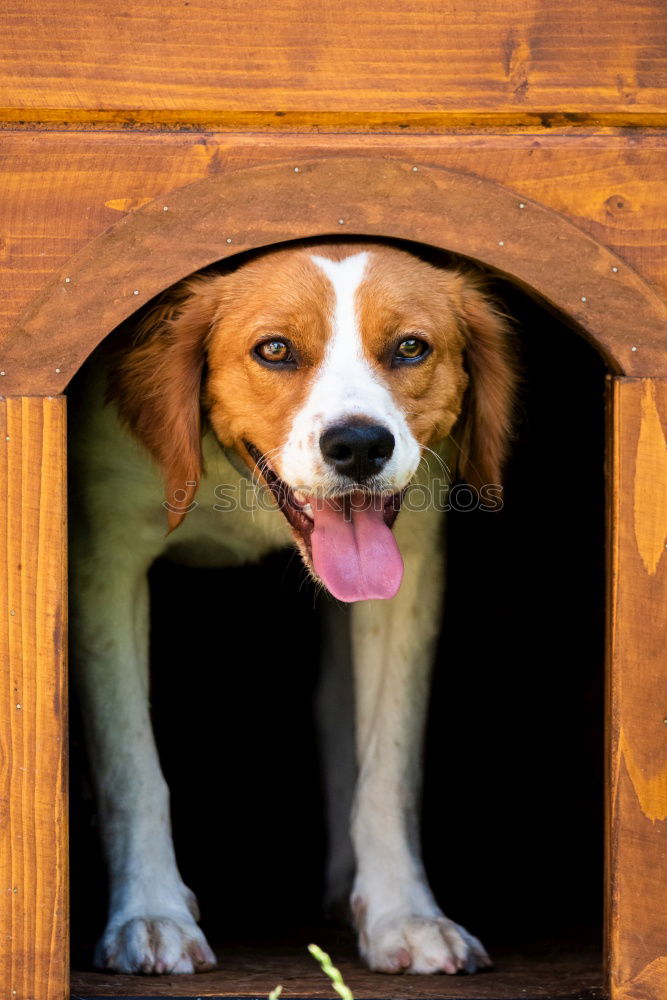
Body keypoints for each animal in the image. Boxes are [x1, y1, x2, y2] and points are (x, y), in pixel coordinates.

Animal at [69, 240, 516, 976]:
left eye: (411, 348)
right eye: (275, 349)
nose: (359, 444)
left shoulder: (410, 568)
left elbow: (387, 770)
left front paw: (403, 914)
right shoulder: (104, 559)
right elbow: (131, 769)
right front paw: (150, 915)